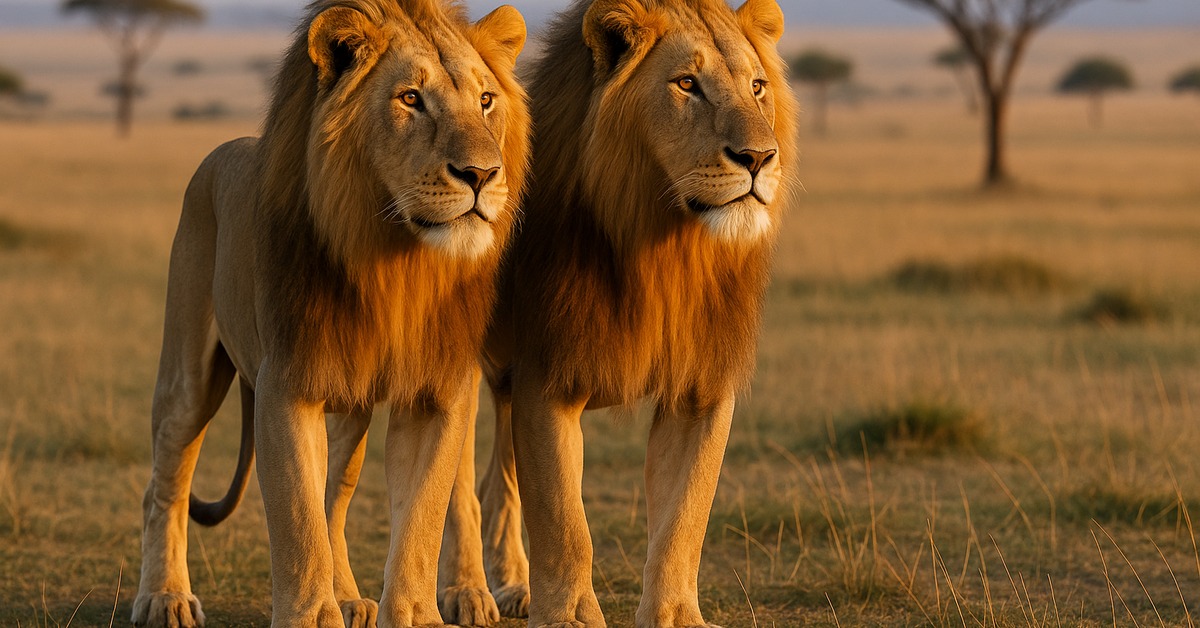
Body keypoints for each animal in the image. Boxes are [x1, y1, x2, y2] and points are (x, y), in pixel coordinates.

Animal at [130, 0, 530, 626]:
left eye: (487, 100)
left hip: (350, 406)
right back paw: (164, 597)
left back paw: (347, 594)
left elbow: (419, 516)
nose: (483, 175)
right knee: (166, 481)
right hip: (188, 372)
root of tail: (226, 147)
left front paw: (410, 613)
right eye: (410, 98)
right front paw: (311, 612)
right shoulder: (287, 382)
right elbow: (296, 517)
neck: (398, 261)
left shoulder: (435, 391)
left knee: (333, 496)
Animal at [432, 0, 799, 625]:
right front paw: (572, 616)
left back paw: (515, 583)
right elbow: (564, 520)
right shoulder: (548, 378)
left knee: (498, 480)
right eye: (686, 84)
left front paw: (675, 616)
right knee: (458, 487)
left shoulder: (702, 387)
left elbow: (684, 518)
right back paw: (467, 592)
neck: (665, 247)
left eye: (757, 87)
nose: (758, 158)